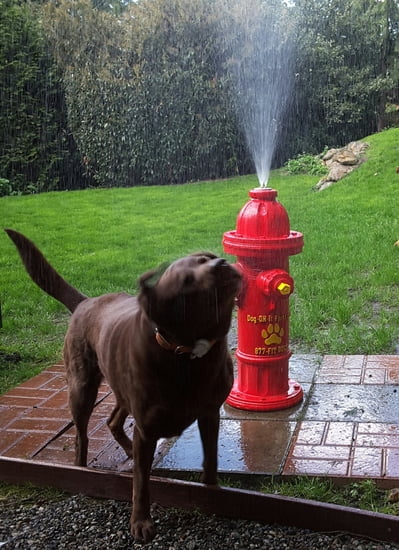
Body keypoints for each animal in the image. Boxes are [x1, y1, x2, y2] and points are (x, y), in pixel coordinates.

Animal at [6, 231, 242, 544]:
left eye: (206, 259)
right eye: (186, 282)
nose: (221, 263)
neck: (188, 355)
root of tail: (85, 301)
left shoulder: (209, 414)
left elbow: (211, 458)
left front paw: (214, 493)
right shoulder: (147, 427)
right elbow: (141, 483)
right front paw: (141, 522)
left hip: (120, 387)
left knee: (112, 420)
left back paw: (128, 449)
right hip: (82, 389)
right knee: (82, 436)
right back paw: (84, 468)